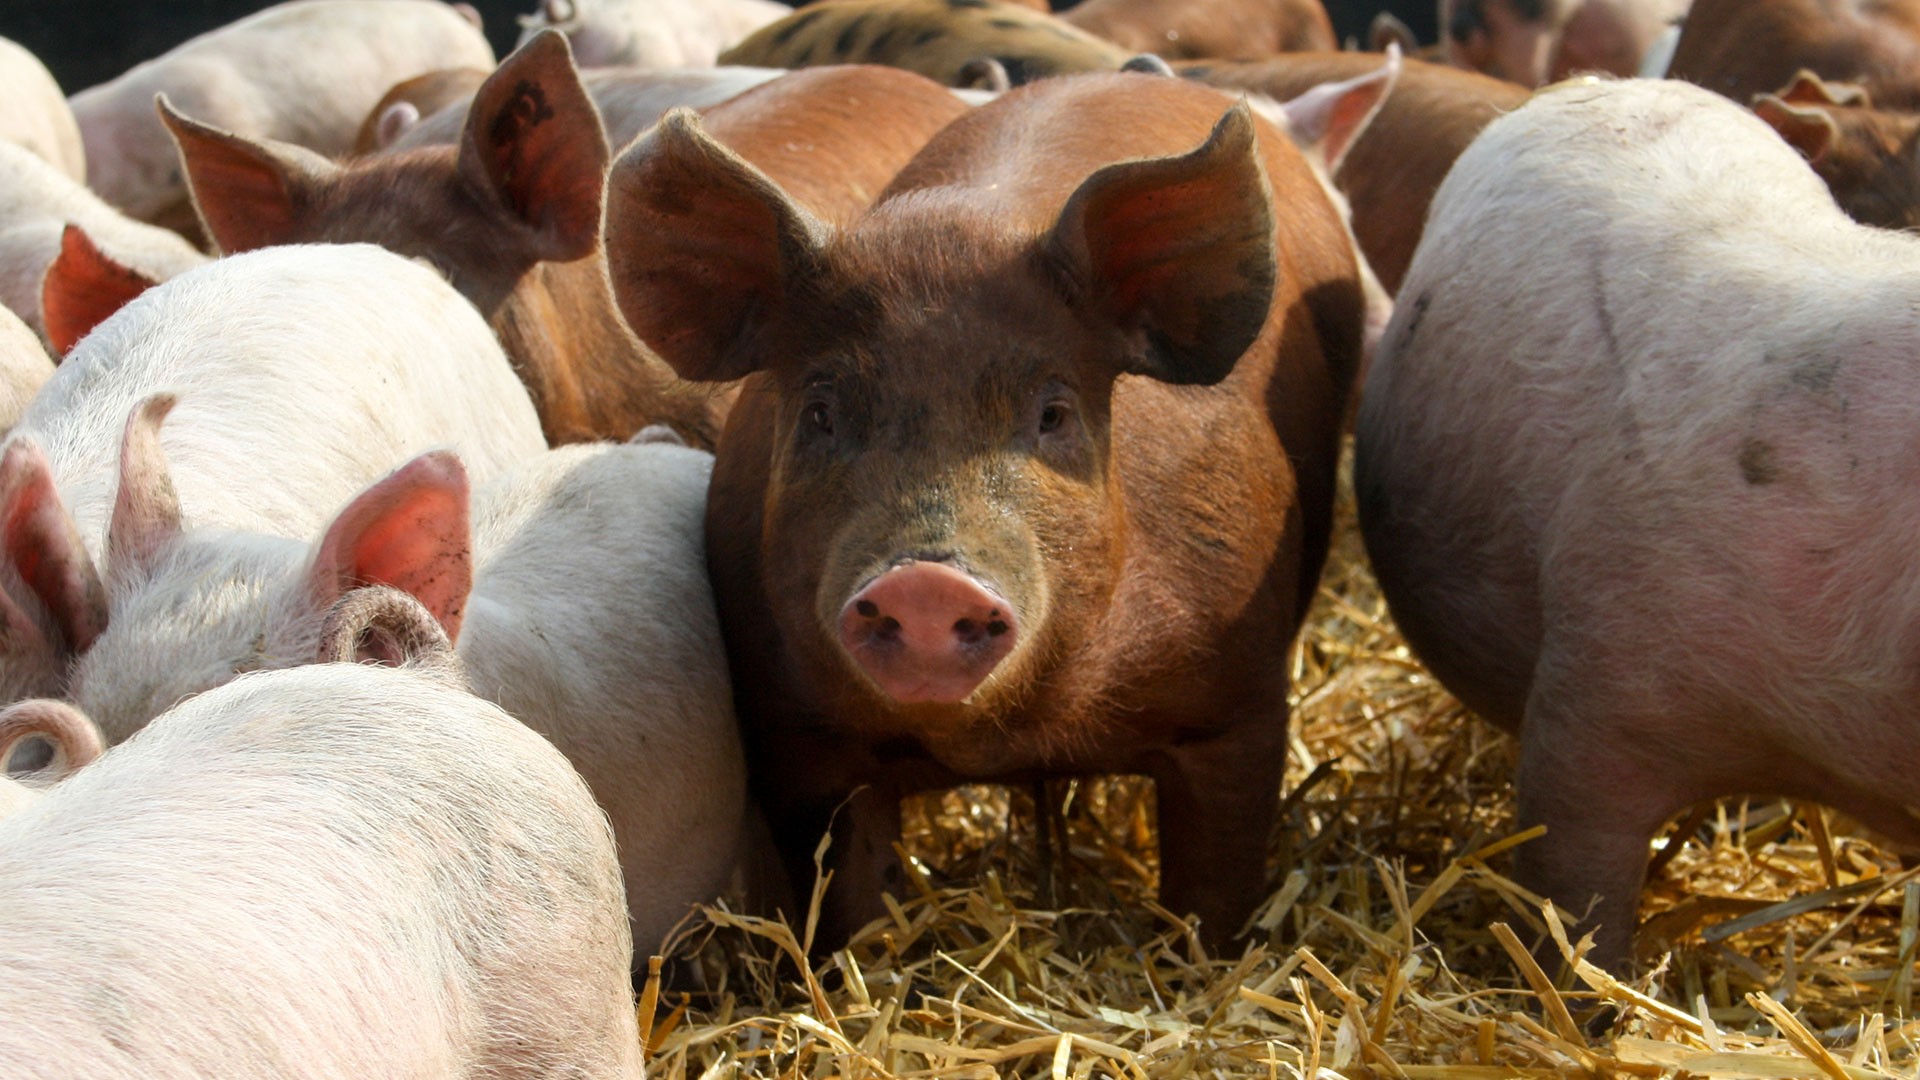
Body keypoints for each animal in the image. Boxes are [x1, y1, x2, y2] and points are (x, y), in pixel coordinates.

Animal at [602, 72, 1365, 949]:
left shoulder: (1240, 704)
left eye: (1053, 414)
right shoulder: (793, 736)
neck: (1009, 741)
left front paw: (1197, 960)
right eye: (821, 414)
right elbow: (846, 906)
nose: (927, 582)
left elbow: (1215, 891)